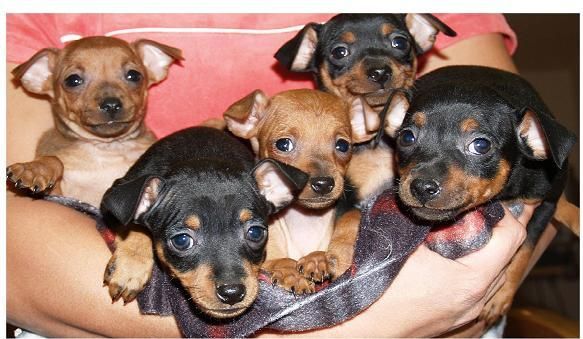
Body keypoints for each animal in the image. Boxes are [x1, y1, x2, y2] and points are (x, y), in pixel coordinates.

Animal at [5, 37, 181, 207]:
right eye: (73, 80)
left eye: (134, 75)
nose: (111, 104)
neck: (107, 149)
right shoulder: (59, 196)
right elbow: (54, 160)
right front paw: (33, 169)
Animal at [100, 127, 310, 318]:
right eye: (182, 241)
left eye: (256, 233)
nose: (232, 293)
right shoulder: (109, 207)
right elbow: (131, 225)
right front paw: (130, 267)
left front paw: (286, 269)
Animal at [224, 89, 378, 294]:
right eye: (283, 144)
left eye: (343, 145)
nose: (323, 183)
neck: (305, 221)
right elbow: (277, 262)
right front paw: (292, 273)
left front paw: (319, 258)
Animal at [390, 65, 576, 328]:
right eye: (407, 137)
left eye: (480, 145)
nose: (422, 187)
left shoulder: (545, 203)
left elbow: (525, 249)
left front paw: (501, 298)